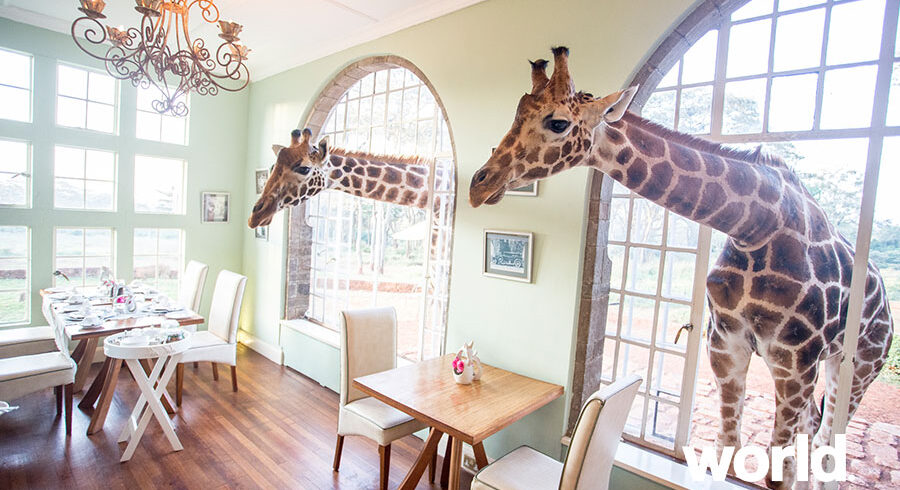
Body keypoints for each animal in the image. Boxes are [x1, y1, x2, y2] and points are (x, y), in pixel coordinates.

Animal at [468, 47, 893, 489]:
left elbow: (778, 472)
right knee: (813, 431)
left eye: (558, 122)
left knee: (826, 442)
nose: (479, 184)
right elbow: (727, 451)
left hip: (857, 365)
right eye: (516, 113)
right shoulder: (725, 348)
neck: (757, 224)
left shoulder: (794, 363)